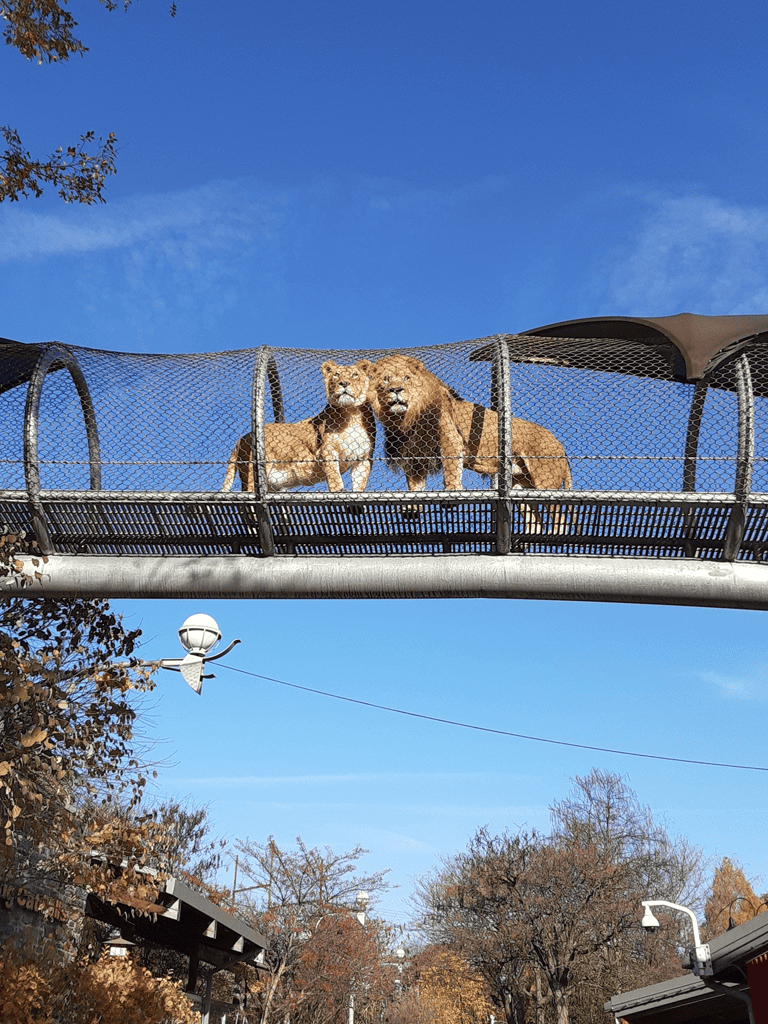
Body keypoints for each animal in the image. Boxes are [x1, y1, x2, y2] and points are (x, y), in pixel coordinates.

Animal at [221, 360, 376, 493]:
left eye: (355, 374)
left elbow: (360, 484)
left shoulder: (364, 458)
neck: (351, 414)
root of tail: (242, 439)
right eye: (336, 375)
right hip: (253, 473)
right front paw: (339, 491)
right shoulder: (328, 450)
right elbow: (334, 475)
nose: (344, 383)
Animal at [367, 354, 573, 532]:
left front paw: (451, 492)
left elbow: (451, 468)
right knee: (535, 522)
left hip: (545, 482)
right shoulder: (415, 454)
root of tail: (560, 445)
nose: (396, 390)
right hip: (520, 487)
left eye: (406, 377)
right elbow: (414, 483)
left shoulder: (450, 438)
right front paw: (411, 506)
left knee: (560, 519)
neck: (405, 417)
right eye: (386, 379)